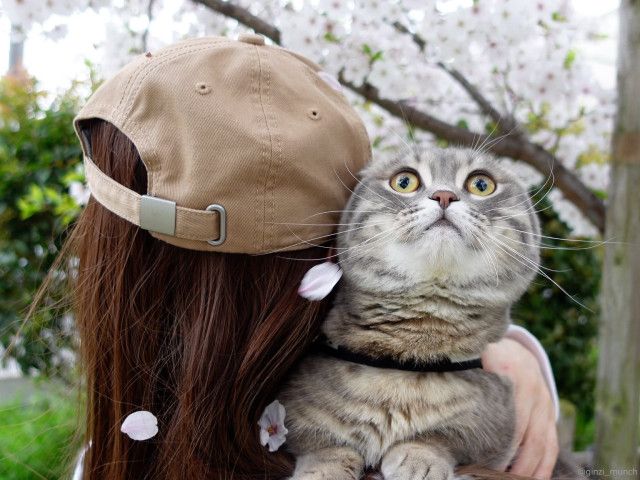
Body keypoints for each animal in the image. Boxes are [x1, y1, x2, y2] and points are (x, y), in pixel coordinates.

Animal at [278, 146, 576, 480]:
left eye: (481, 184)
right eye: (404, 181)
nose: (444, 195)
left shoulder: (496, 419)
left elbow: (448, 435)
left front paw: (420, 458)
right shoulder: (294, 407)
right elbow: (321, 441)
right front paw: (324, 469)